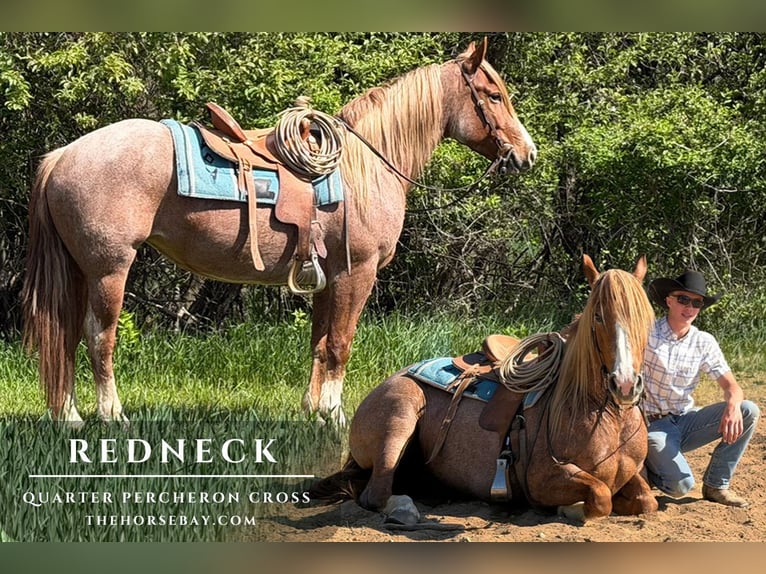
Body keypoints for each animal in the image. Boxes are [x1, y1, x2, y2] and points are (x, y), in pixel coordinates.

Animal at [21, 38, 537, 426]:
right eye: (493, 95)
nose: (526, 153)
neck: (368, 164)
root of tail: (64, 155)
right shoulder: (357, 273)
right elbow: (341, 345)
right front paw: (335, 416)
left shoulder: (328, 276)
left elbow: (320, 343)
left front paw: (313, 412)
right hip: (109, 268)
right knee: (98, 336)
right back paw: (111, 416)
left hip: (80, 270)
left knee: (66, 335)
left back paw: (69, 416)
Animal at [310, 255, 660, 523]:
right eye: (598, 317)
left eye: (647, 318)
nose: (625, 384)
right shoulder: (543, 478)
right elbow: (600, 497)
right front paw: (569, 508)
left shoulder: (632, 477)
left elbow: (647, 501)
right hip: (399, 418)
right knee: (377, 493)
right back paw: (404, 508)